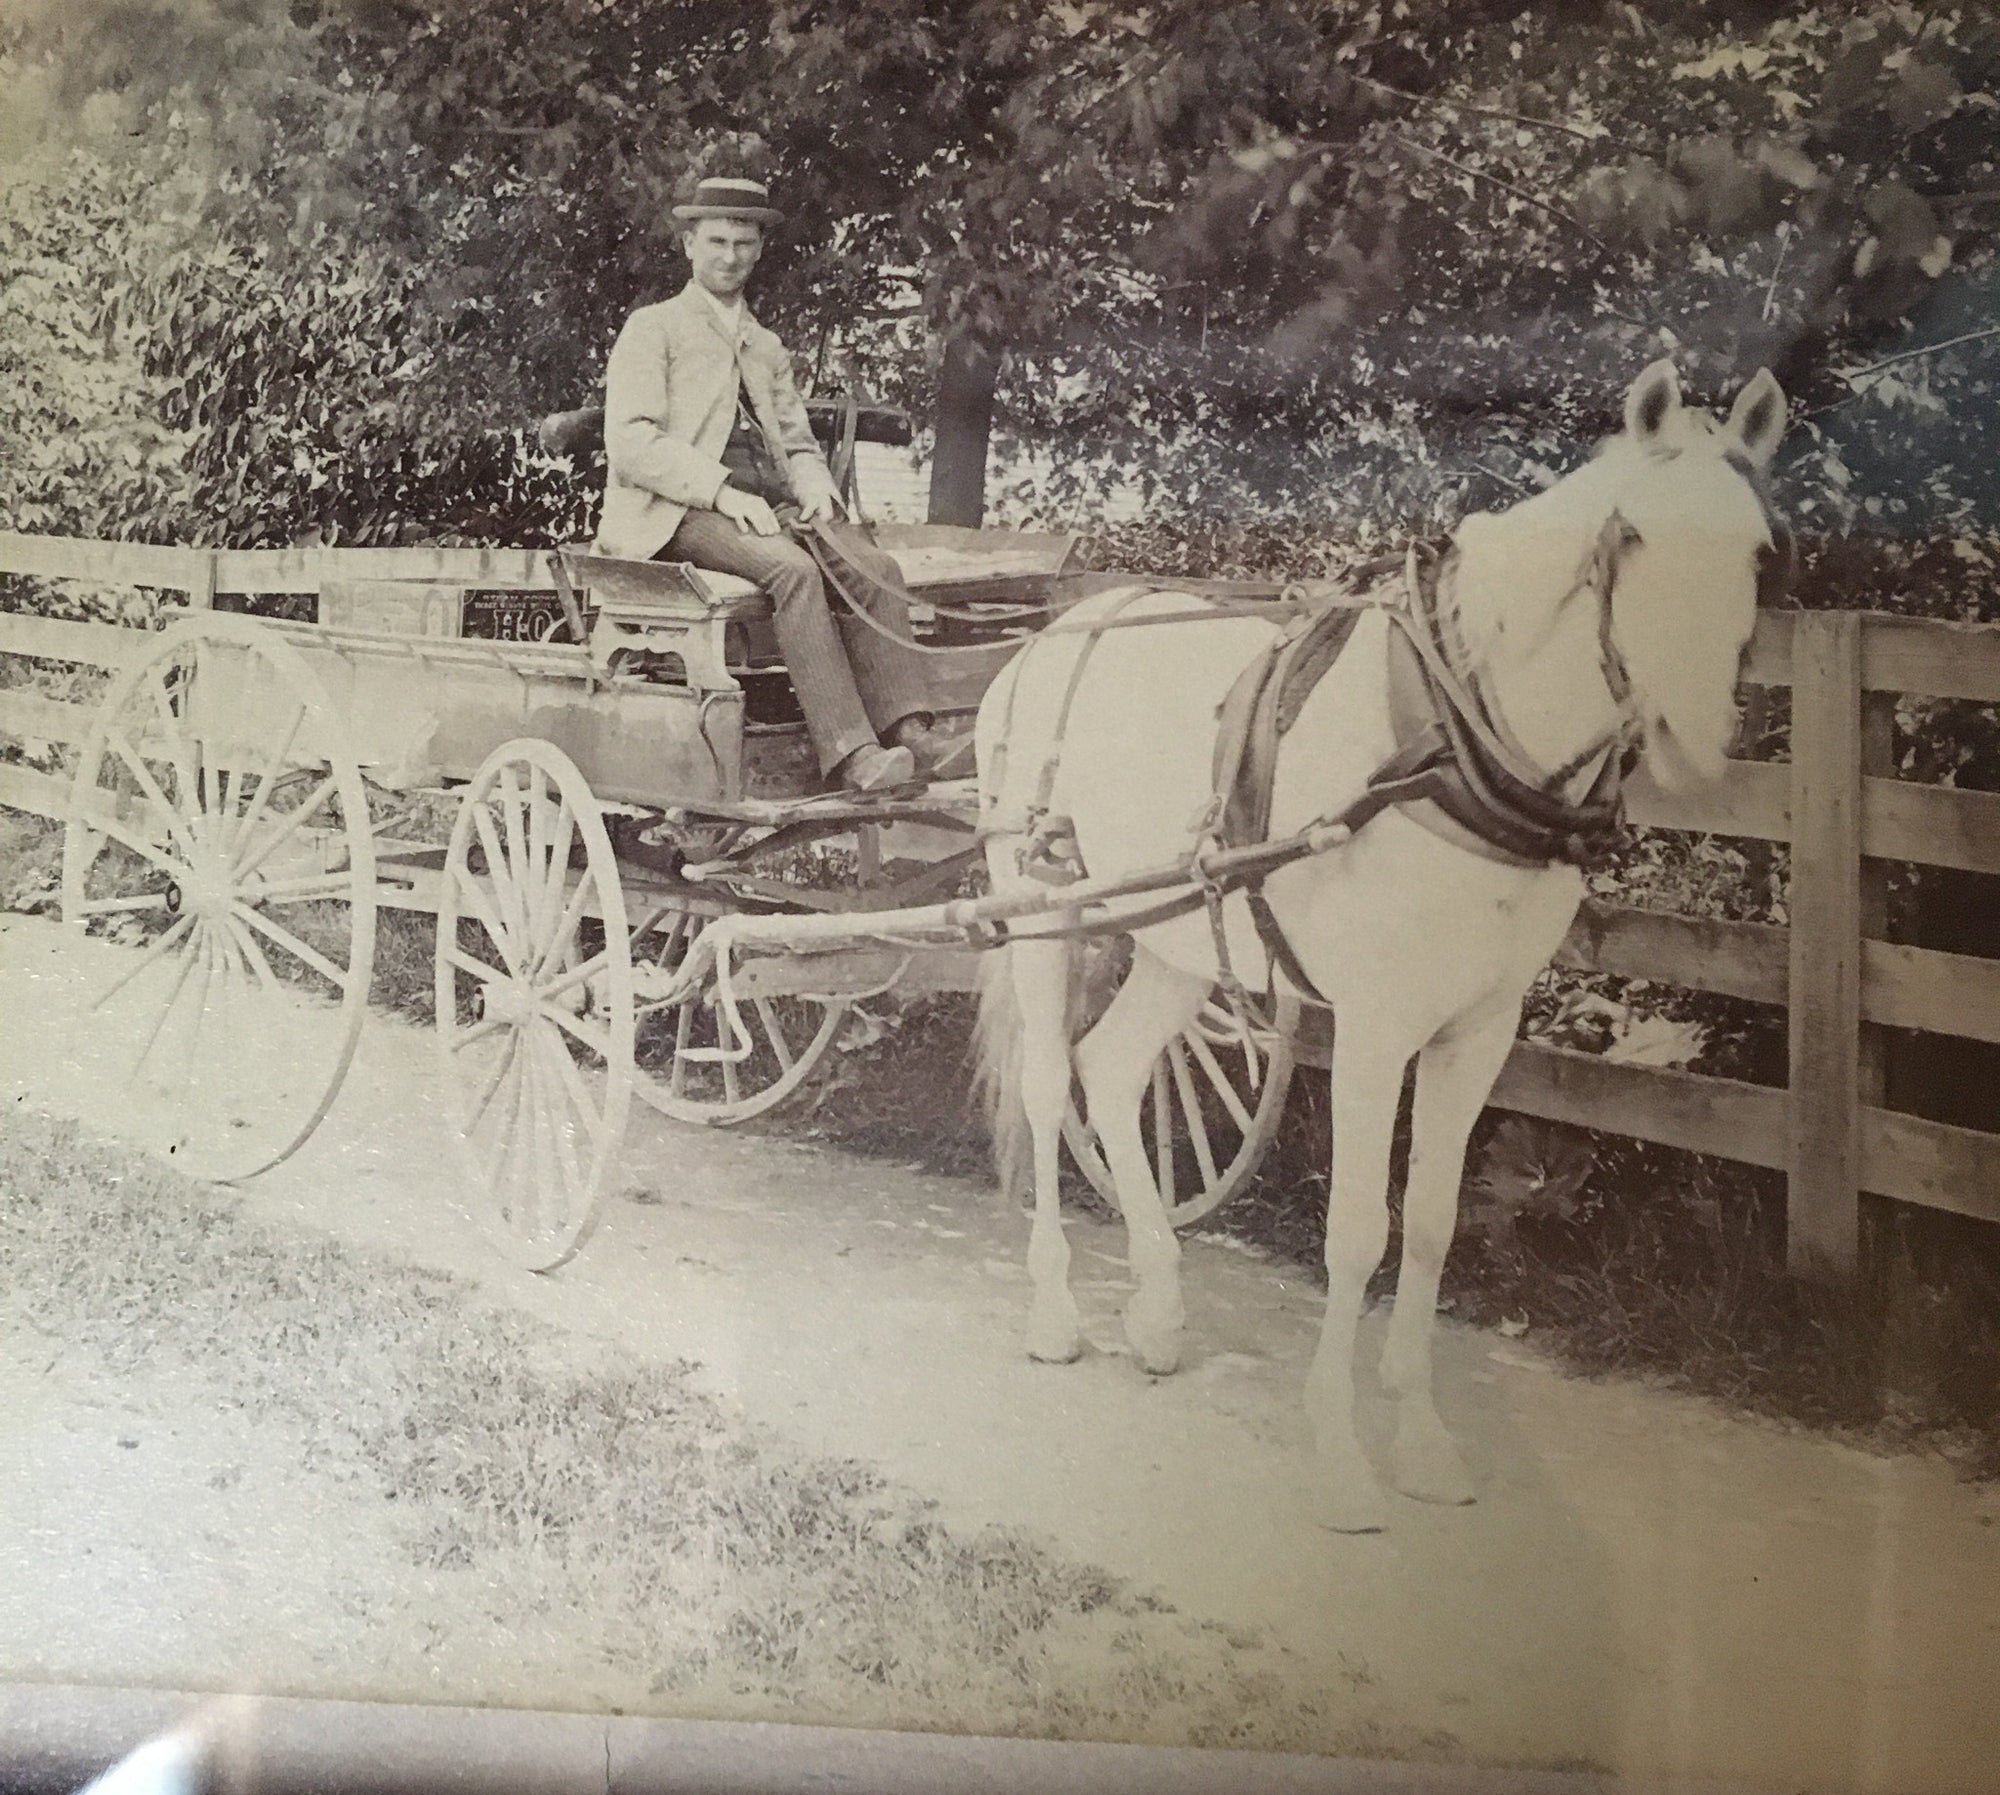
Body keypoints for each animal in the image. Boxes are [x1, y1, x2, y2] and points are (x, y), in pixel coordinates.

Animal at [976, 359, 1792, 1527]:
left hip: (1178, 936)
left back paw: (1159, 1310)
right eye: (1630, 536)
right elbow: (1357, 1228)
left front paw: (1420, 1438)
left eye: (1761, 550)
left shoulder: (1478, 1029)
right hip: (1041, 904)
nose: (1691, 742)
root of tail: (1066, 623)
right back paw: (1053, 1312)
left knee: (1116, 1068)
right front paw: (1340, 1456)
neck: (1452, 740)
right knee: (1051, 1086)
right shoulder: (1373, 1025)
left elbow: (1435, 1223)